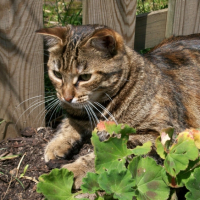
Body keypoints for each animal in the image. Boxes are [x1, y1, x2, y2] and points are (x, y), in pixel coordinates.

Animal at [36, 24, 200, 188]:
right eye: (57, 74)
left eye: (85, 77)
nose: (66, 97)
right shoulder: (74, 115)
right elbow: (67, 126)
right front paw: (55, 145)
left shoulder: (160, 133)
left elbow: (107, 153)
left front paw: (75, 169)